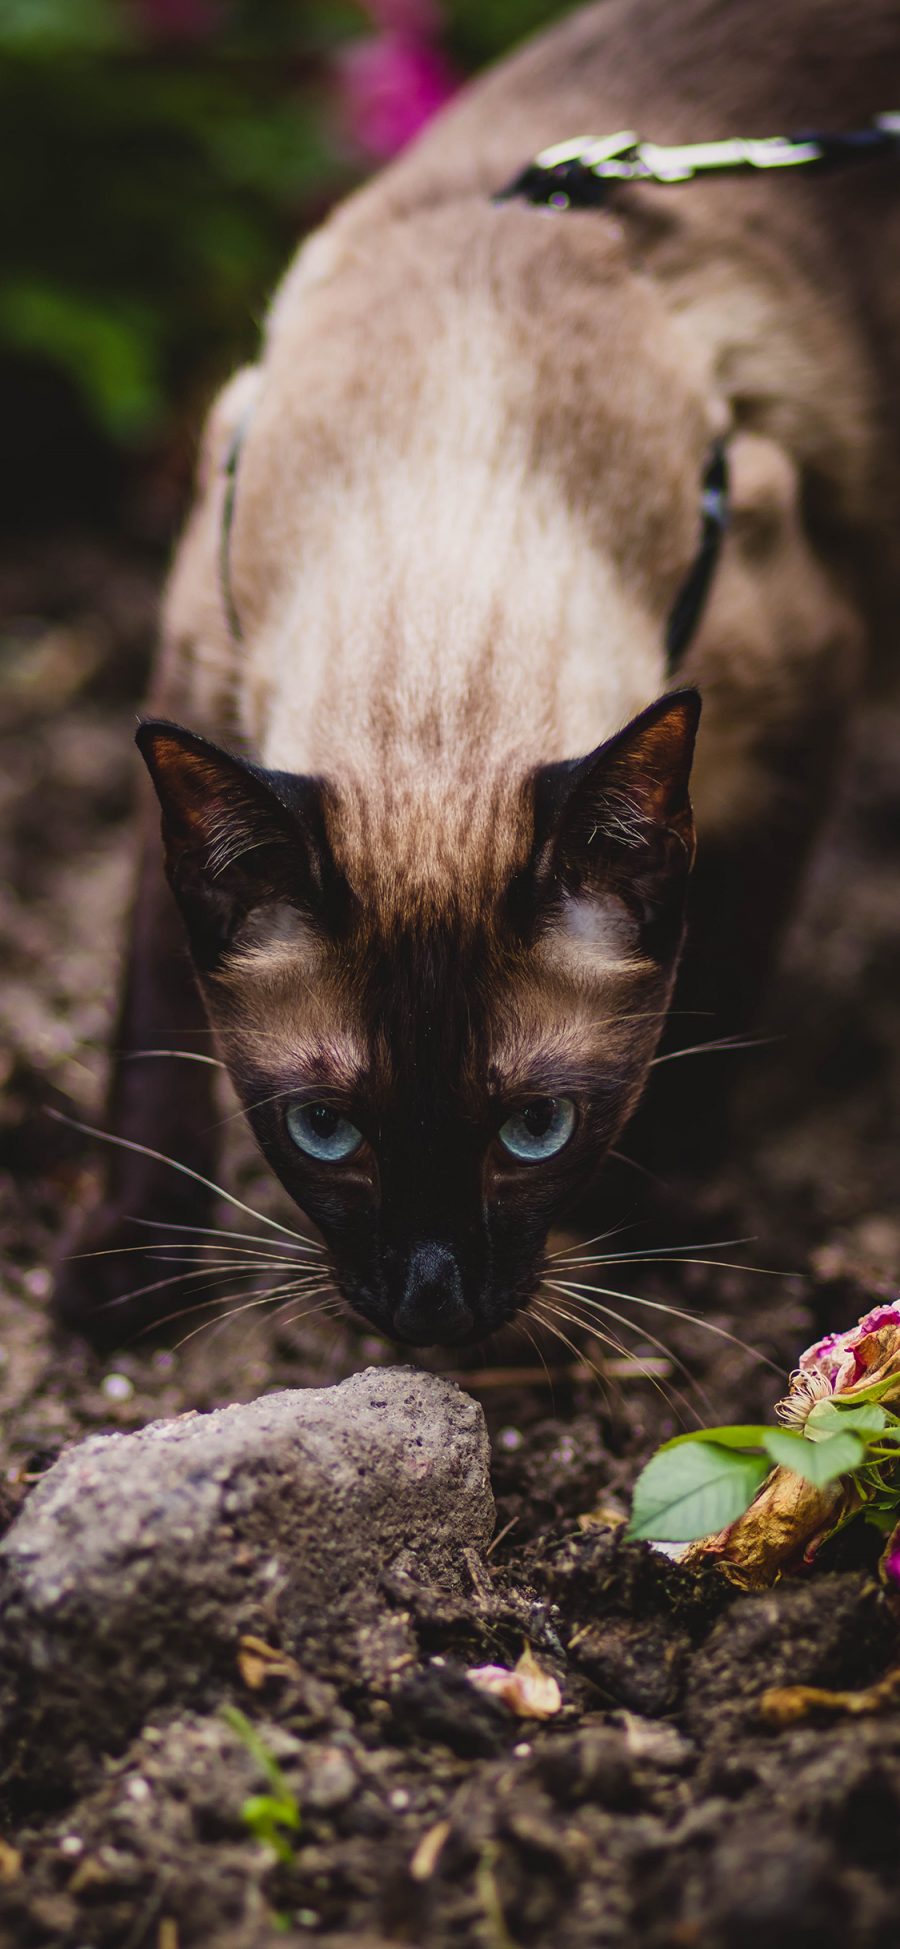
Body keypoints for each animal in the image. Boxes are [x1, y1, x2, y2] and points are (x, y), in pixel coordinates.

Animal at [57, 0, 900, 1348]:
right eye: (325, 1131)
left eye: (537, 1130)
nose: (432, 1305)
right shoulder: (194, 665)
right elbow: (149, 1021)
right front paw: (129, 1271)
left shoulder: (802, 713)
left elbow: (720, 977)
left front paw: (655, 1219)